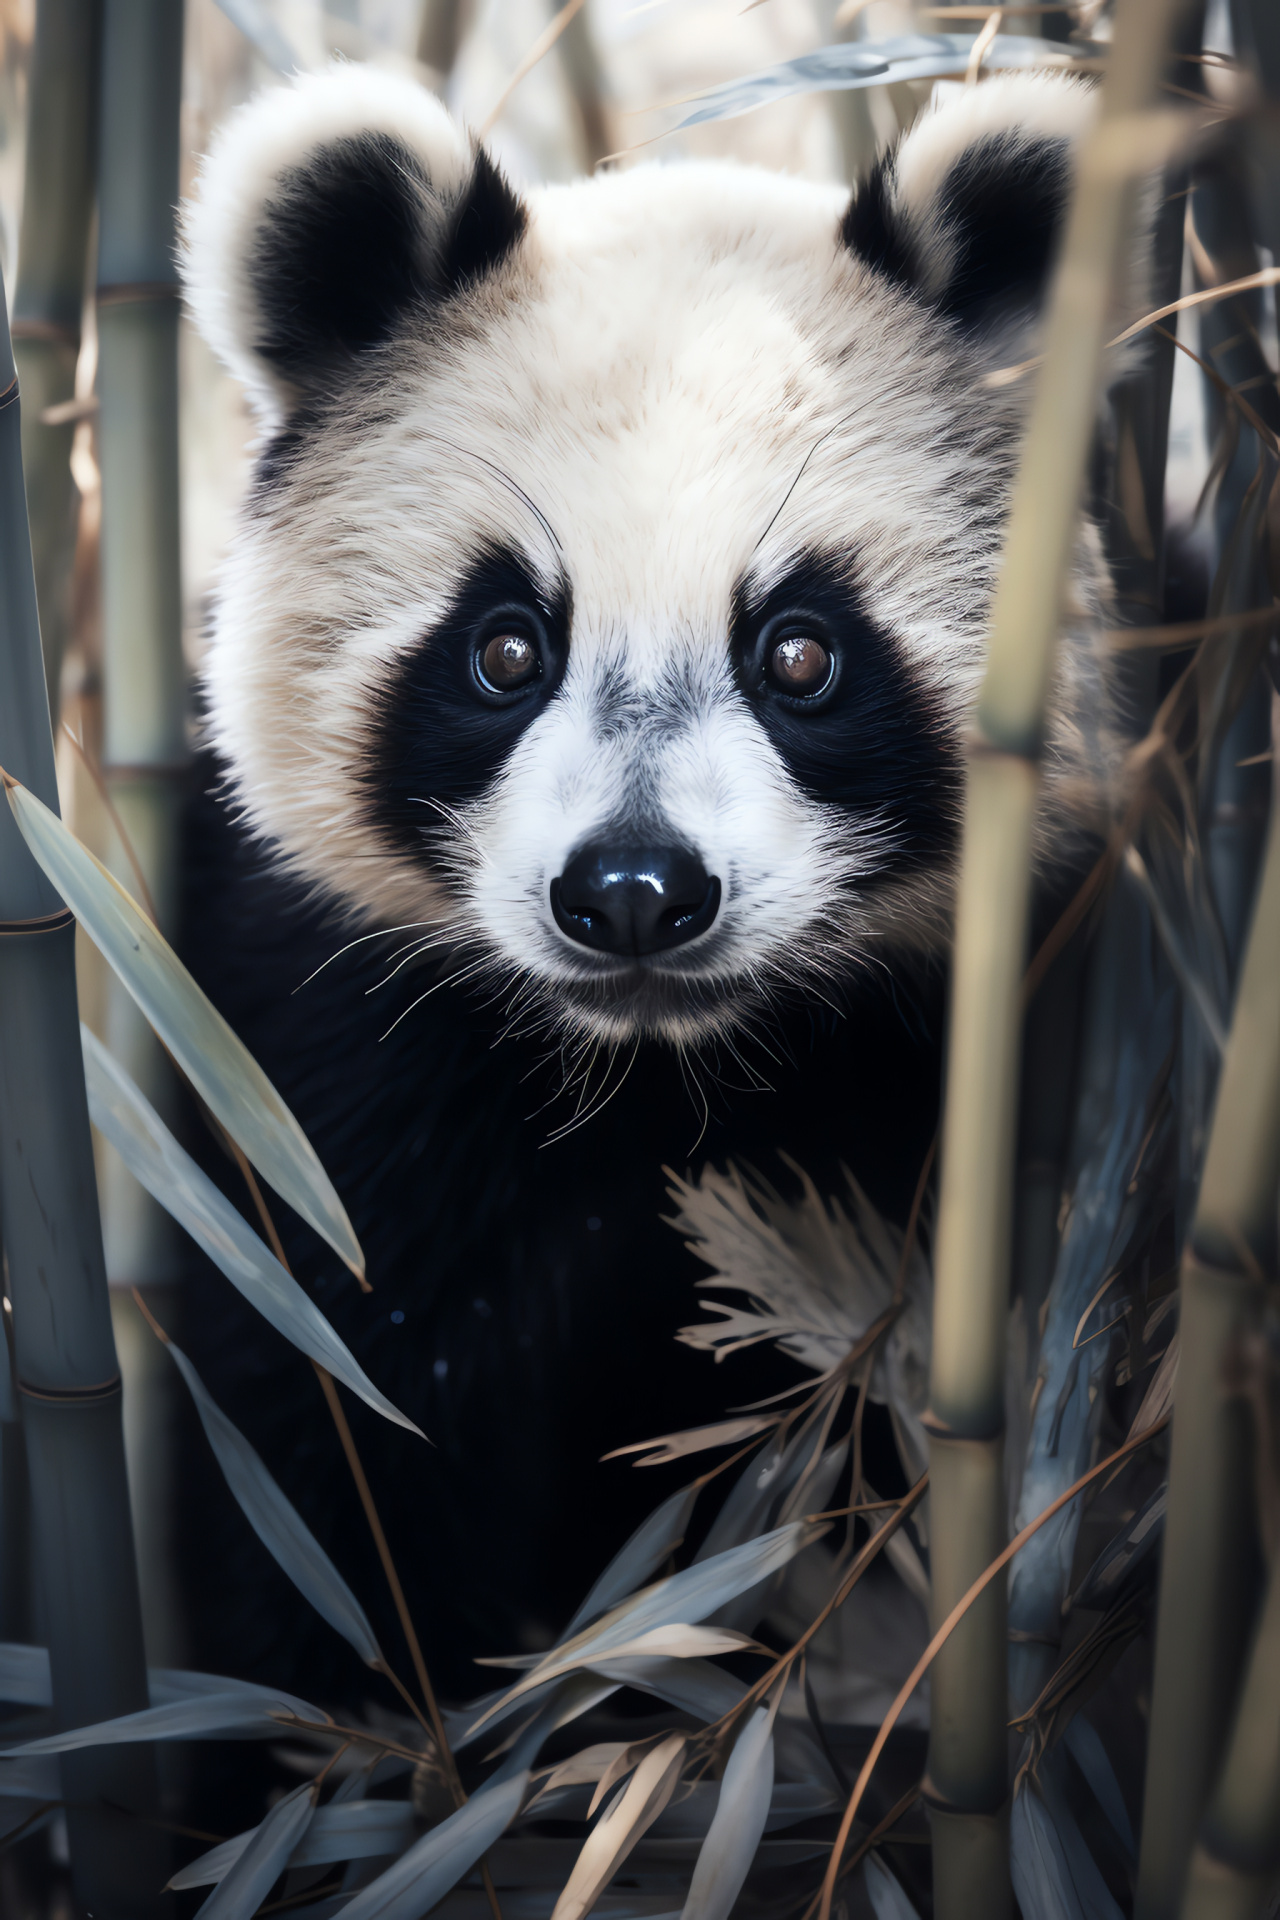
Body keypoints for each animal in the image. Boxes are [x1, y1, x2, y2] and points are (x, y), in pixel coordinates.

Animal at [177, 60, 1120, 1712]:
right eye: (505, 646)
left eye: (800, 651)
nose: (633, 893)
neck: (665, 1073)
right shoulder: (323, 1048)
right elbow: (329, 1435)